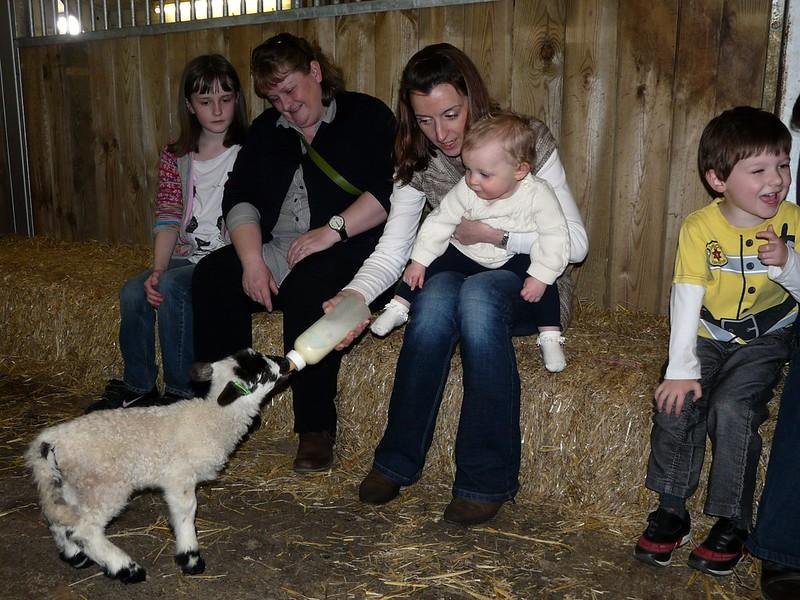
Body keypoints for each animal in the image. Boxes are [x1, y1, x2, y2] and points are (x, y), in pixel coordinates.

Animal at [26, 350, 290, 584]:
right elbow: (186, 512)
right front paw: (190, 558)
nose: (286, 362)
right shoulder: (179, 477)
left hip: (70, 484)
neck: (215, 419)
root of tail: (50, 441)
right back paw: (126, 569)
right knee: (84, 530)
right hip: (105, 486)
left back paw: (76, 557)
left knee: (60, 520)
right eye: (263, 374)